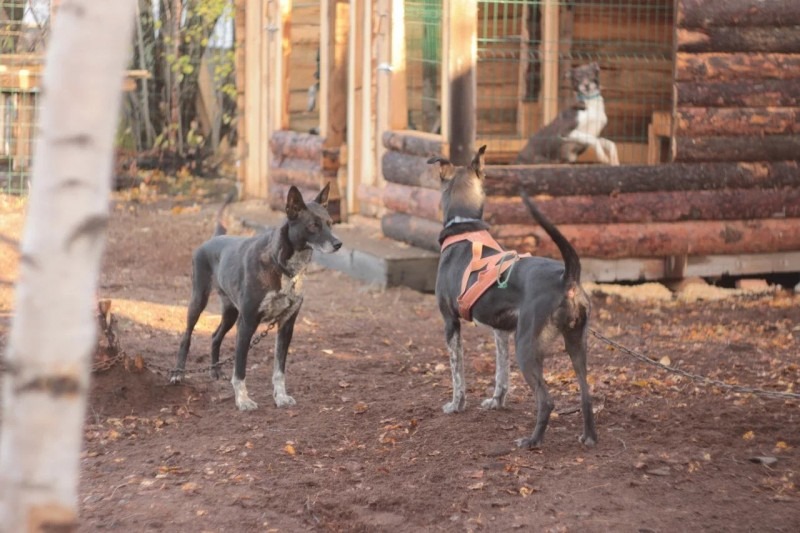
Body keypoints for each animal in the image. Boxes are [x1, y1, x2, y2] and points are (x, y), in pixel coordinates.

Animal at [172, 184, 340, 412]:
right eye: (313, 225)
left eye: (330, 223)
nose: (338, 244)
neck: (284, 267)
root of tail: (214, 238)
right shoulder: (247, 323)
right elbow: (240, 368)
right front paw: (243, 400)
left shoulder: (287, 324)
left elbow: (279, 370)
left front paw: (281, 397)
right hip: (199, 300)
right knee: (186, 337)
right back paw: (178, 374)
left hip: (231, 313)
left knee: (215, 336)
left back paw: (215, 371)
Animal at [432, 147, 592, 448]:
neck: (465, 228)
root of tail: (566, 277)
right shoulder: (501, 331)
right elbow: (501, 373)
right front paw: (497, 401)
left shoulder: (451, 323)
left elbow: (457, 372)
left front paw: (456, 405)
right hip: (576, 344)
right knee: (587, 392)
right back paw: (589, 437)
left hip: (527, 346)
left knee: (546, 400)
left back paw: (532, 441)